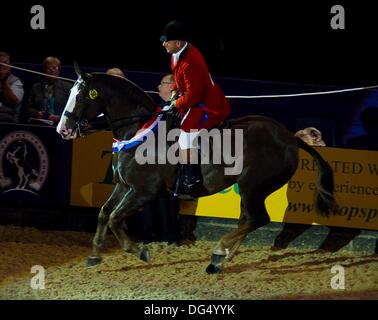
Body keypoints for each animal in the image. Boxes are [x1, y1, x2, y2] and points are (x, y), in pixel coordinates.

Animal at [56, 69, 336, 272]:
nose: (63, 129)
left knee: (257, 219)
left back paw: (219, 252)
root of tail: (290, 137)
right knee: (249, 219)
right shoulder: (124, 186)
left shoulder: (144, 192)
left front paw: (141, 252)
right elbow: (104, 213)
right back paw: (223, 258)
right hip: (253, 189)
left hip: (252, 186)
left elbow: (115, 218)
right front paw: (94, 257)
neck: (139, 131)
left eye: (81, 96)